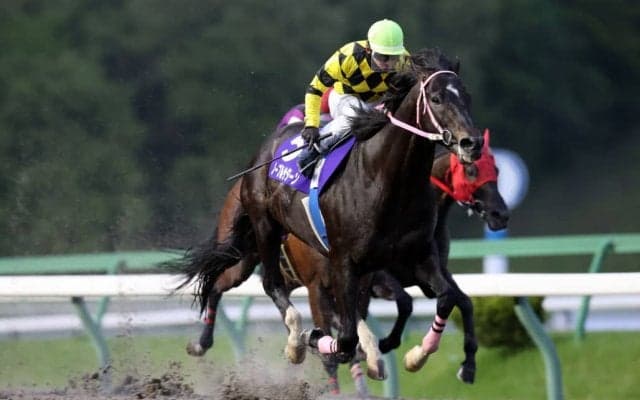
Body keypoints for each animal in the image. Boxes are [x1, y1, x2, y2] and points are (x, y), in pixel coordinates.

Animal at [171, 47, 484, 377]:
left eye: (467, 96)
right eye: (436, 98)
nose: (471, 143)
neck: (387, 181)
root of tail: (267, 147)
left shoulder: (418, 256)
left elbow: (447, 298)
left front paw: (418, 355)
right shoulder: (343, 264)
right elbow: (344, 338)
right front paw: (317, 339)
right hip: (261, 230)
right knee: (267, 284)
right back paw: (291, 342)